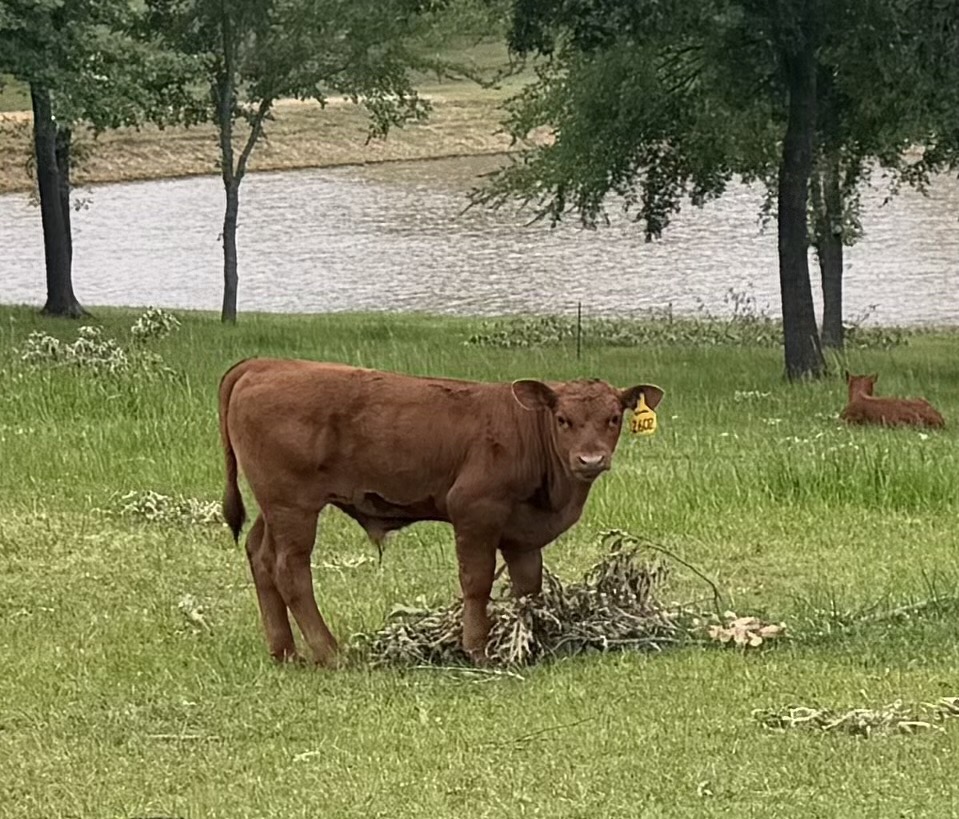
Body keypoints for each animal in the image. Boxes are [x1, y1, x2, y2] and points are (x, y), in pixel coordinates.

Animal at [217, 358, 664, 667]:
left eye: (613, 418)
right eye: (563, 419)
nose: (591, 459)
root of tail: (265, 364)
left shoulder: (522, 534)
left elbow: (528, 588)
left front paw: (528, 641)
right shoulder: (474, 511)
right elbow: (476, 582)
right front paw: (477, 649)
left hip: (273, 507)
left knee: (260, 555)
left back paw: (285, 651)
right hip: (293, 505)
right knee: (289, 570)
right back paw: (330, 652)